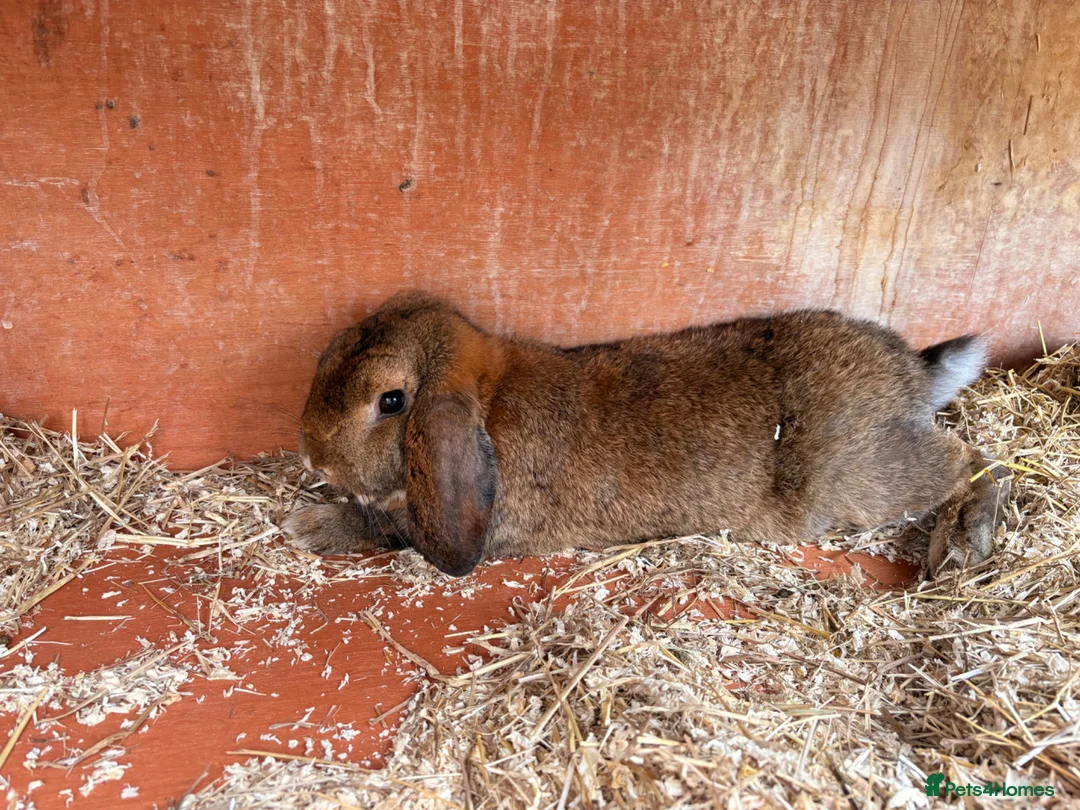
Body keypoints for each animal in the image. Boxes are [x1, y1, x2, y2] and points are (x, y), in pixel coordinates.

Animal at [283, 291, 1011, 578]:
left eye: (391, 401)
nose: (313, 454)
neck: (487, 399)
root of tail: (912, 373)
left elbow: (389, 529)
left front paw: (309, 526)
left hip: (865, 477)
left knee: (979, 461)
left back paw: (958, 550)